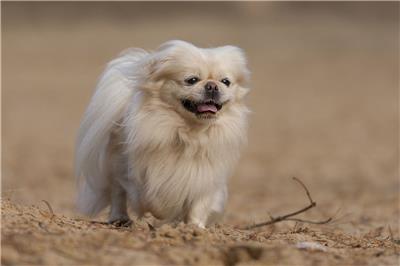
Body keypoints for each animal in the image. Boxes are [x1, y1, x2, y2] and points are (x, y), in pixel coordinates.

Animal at [75, 40, 250, 229]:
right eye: (192, 80)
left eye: (225, 82)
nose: (212, 85)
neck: (191, 133)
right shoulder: (143, 174)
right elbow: (153, 199)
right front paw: (166, 213)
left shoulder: (205, 176)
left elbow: (199, 204)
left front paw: (194, 227)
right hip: (117, 165)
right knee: (118, 193)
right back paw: (120, 219)